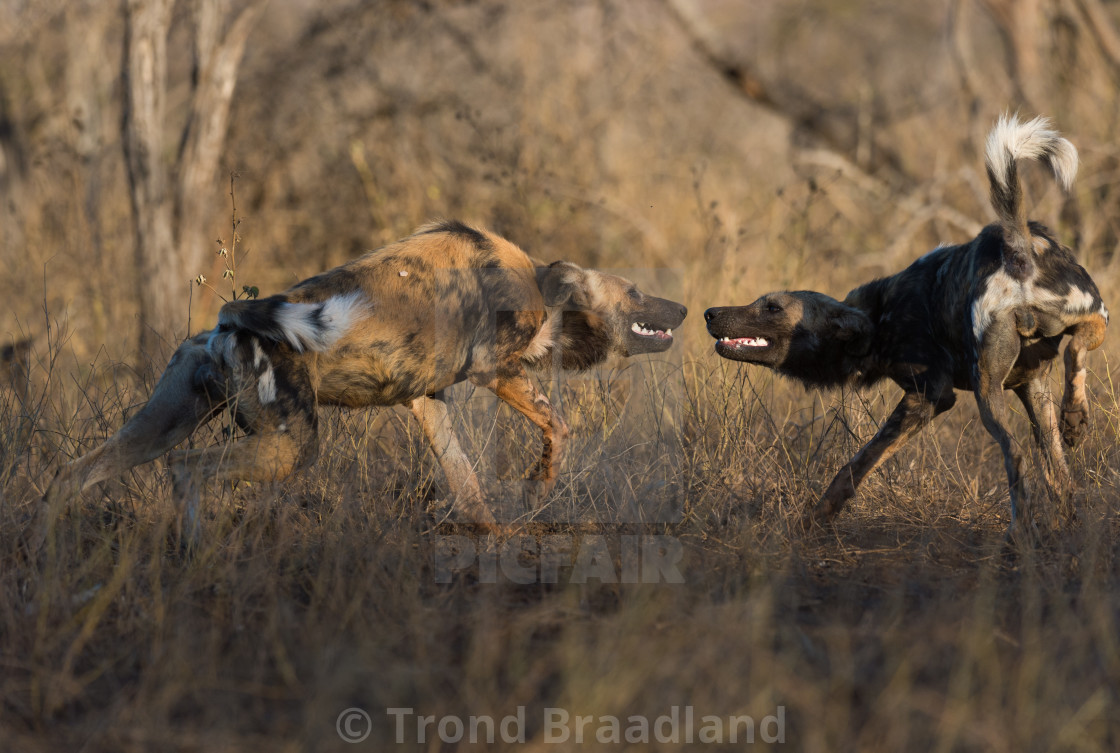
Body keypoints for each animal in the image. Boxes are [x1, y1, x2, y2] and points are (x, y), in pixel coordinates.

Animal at [43, 220, 685, 533]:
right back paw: (196, 551)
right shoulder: (492, 371)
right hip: (290, 447)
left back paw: (47, 550)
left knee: (75, 474)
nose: (681, 308)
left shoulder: (427, 401)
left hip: (161, 425)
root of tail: (230, 319)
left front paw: (496, 543)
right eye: (635, 292)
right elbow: (559, 428)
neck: (539, 285)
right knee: (187, 470)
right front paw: (540, 484)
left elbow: (468, 484)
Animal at [703, 114, 1106, 533]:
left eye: (773, 308)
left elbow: (859, 462)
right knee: (1079, 352)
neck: (878, 319)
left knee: (1015, 454)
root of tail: (1018, 245)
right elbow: (1059, 475)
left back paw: (1018, 533)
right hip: (1086, 314)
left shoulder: (929, 396)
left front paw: (813, 523)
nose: (710, 313)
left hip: (986, 390)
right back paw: (1075, 421)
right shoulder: (1032, 387)